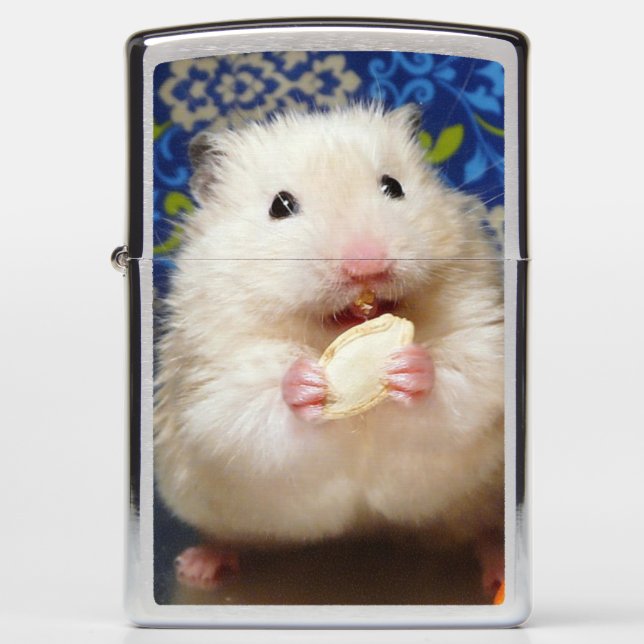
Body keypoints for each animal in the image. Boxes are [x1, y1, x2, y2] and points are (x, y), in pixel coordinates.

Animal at [154, 103, 505, 599]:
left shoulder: (482, 335)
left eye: (393, 186)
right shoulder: (211, 380)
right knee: (225, 535)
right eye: (280, 206)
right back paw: (198, 566)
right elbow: (250, 409)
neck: (330, 334)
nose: (367, 267)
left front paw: (410, 368)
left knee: (481, 532)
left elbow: (463, 381)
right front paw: (305, 384)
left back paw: (499, 565)